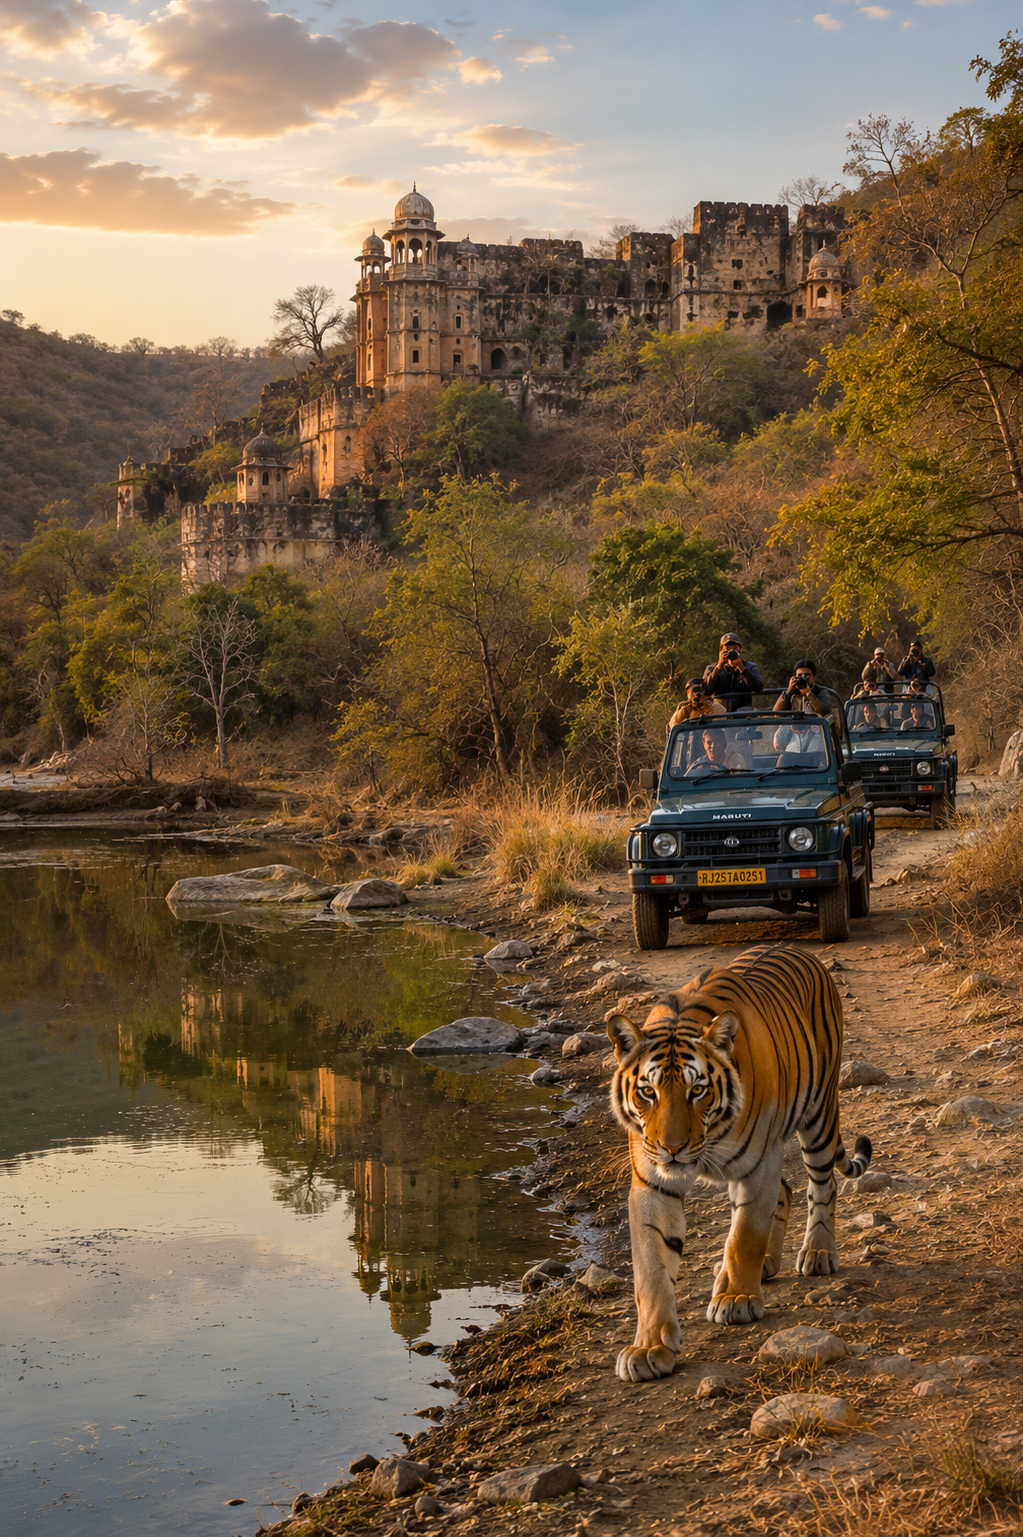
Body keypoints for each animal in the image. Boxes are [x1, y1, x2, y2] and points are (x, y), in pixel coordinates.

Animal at [605, 943, 871, 1383]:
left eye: (697, 1090)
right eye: (648, 1092)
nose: (671, 1148)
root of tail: (797, 947)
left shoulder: (758, 1164)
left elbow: (744, 1234)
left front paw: (736, 1299)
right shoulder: (652, 1183)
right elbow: (651, 1269)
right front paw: (649, 1348)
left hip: (818, 1114)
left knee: (823, 1184)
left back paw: (816, 1253)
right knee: (786, 1190)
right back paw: (763, 1265)